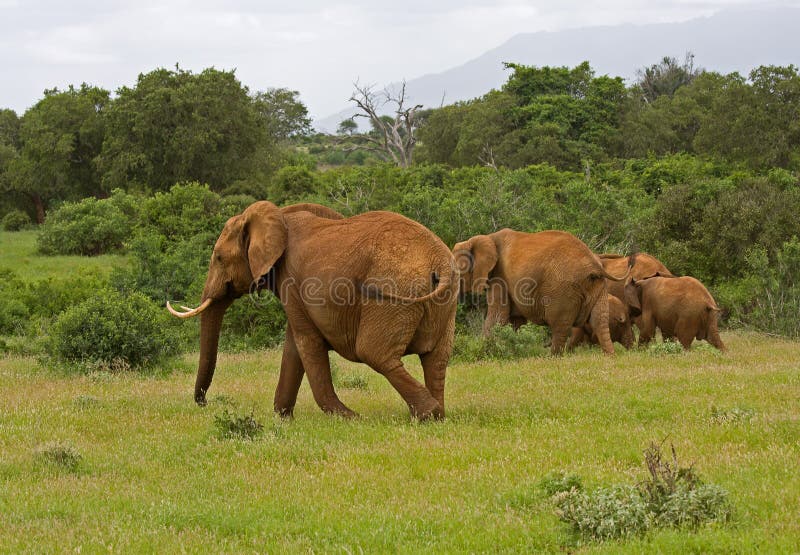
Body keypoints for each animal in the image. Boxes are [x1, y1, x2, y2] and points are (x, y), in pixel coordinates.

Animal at [168, 202, 456, 420]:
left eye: (218, 258)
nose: (204, 403)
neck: (279, 215)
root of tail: (439, 261)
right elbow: (293, 346)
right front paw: (283, 416)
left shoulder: (291, 280)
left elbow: (307, 342)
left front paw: (348, 418)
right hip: (444, 303)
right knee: (436, 358)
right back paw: (437, 414)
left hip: (393, 296)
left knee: (374, 353)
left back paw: (425, 414)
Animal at [454, 230, 628, 356]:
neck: (486, 238)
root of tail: (594, 264)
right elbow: (514, 321)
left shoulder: (499, 277)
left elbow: (498, 316)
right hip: (598, 285)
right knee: (599, 320)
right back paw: (610, 356)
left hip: (563, 290)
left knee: (559, 325)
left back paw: (553, 357)